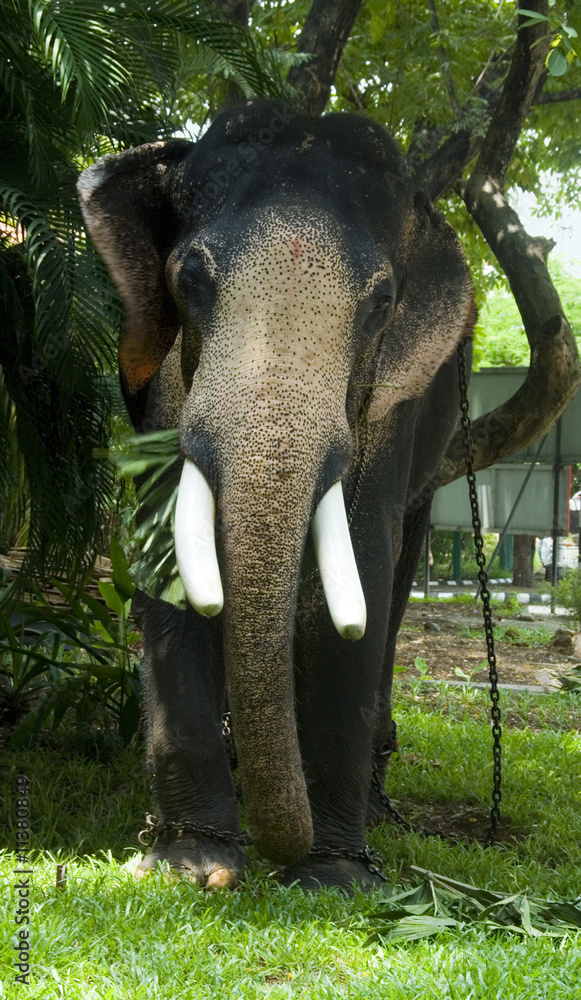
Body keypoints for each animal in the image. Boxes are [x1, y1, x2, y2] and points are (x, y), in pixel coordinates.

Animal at [78, 98, 475, 891]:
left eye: (382, 302)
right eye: (189, 277)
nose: (280, 854)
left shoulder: (391, 404)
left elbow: (362, 553)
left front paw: (335, 877)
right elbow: (168, 547)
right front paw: (194, 867)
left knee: (399, 570)